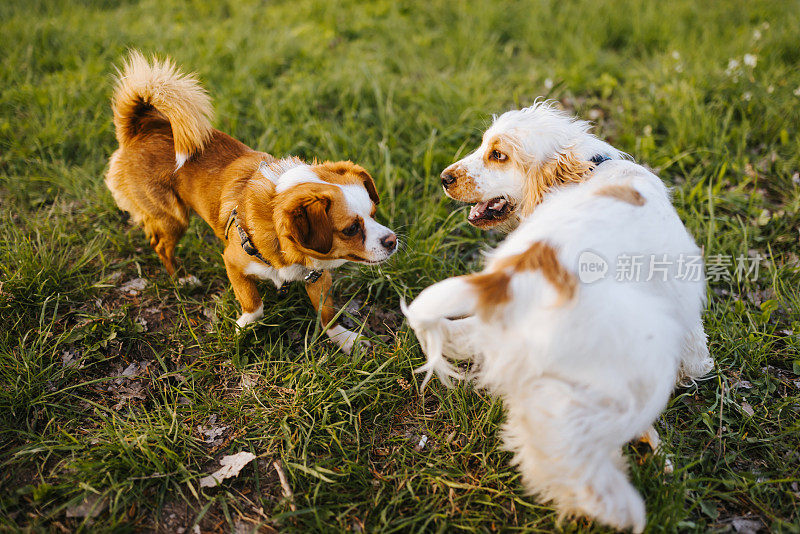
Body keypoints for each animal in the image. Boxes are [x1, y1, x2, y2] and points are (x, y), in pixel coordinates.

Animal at [106, 49, 396, 352]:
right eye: (351, 229)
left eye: (374, 214)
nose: (393, 241)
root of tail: (140, 130)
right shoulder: (233, 263)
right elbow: (254, 304)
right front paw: (243, 327)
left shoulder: (317, 276)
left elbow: (327, 312)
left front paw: (344, 339)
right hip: (173, 217)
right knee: (162, 246)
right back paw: (181, 278)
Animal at [406, 102, 712, 532]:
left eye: (497, 154)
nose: (444, 178)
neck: (591, 166)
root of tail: (511, 282)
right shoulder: (680, 302)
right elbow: (695, 348)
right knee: (574, 458)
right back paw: (621, 504)